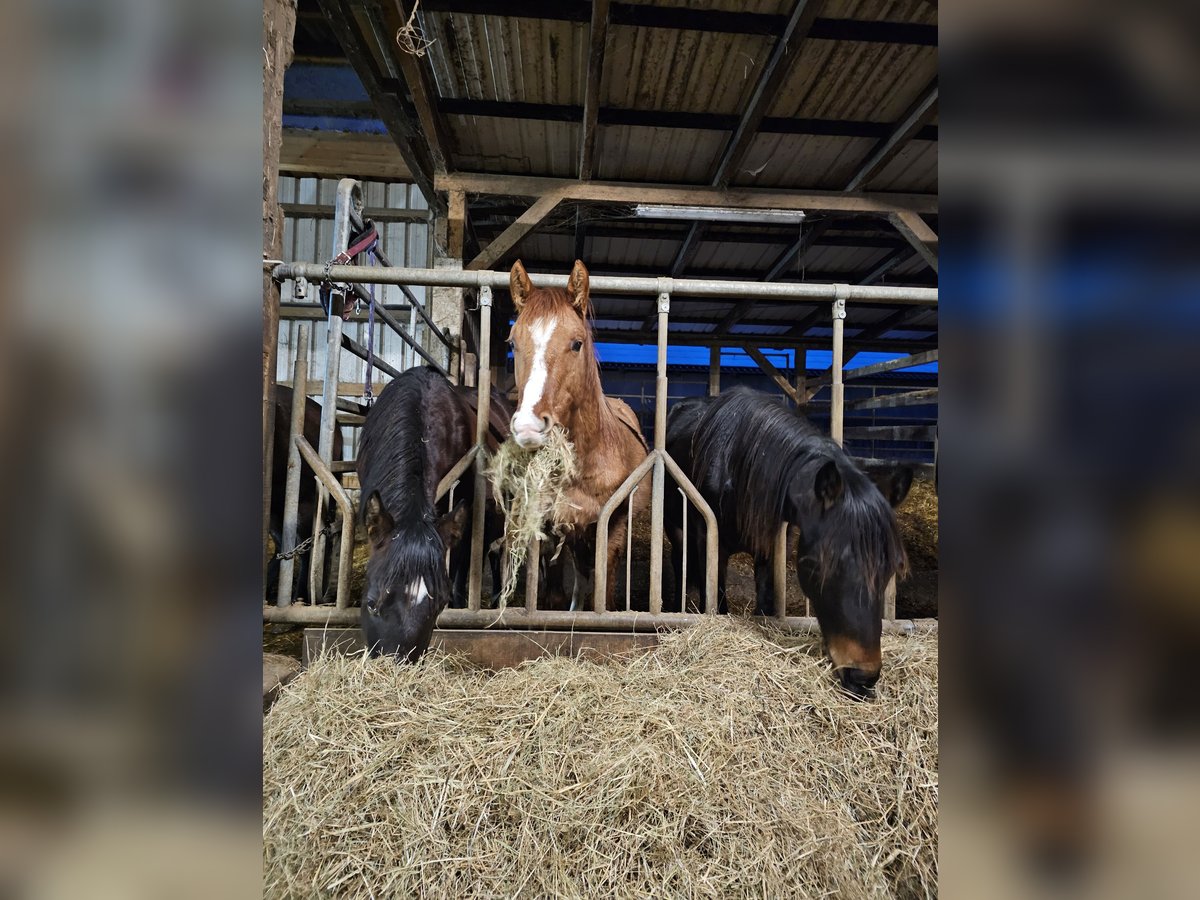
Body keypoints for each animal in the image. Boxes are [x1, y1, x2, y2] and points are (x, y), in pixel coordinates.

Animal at [508, 260, 652, 614]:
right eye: (513, 343)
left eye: (576, 343)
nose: (529, 426)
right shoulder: (554, 525)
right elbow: (557, 590)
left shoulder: (611, 527)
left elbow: (605, 590)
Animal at [667, 388, 907, 696]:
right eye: (816, 566)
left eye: (890, 569)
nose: (863, 677)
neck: (739, 463)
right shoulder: (708, 539)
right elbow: (717, 598)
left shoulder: (771, 545)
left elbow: (765, 597)